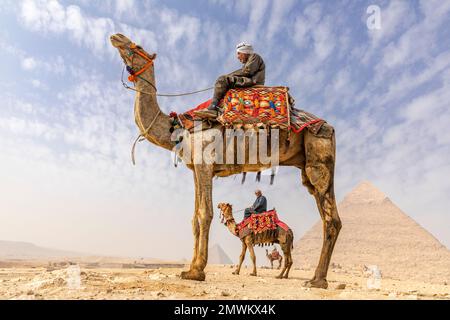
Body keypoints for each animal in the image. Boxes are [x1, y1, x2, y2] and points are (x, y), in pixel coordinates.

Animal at [110, 33, 342, 288]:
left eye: (138, 45)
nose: (117, 37)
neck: (179, 130)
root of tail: (329, 127)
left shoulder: (204, 163)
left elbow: (205, 214)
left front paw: (197, 272)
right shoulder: (196, 169)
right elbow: (194, 219)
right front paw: (189, 269)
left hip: (318, 157)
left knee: (331, 218)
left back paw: (317, 281)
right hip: (309, 166)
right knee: (325, 214)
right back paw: (315, 278)